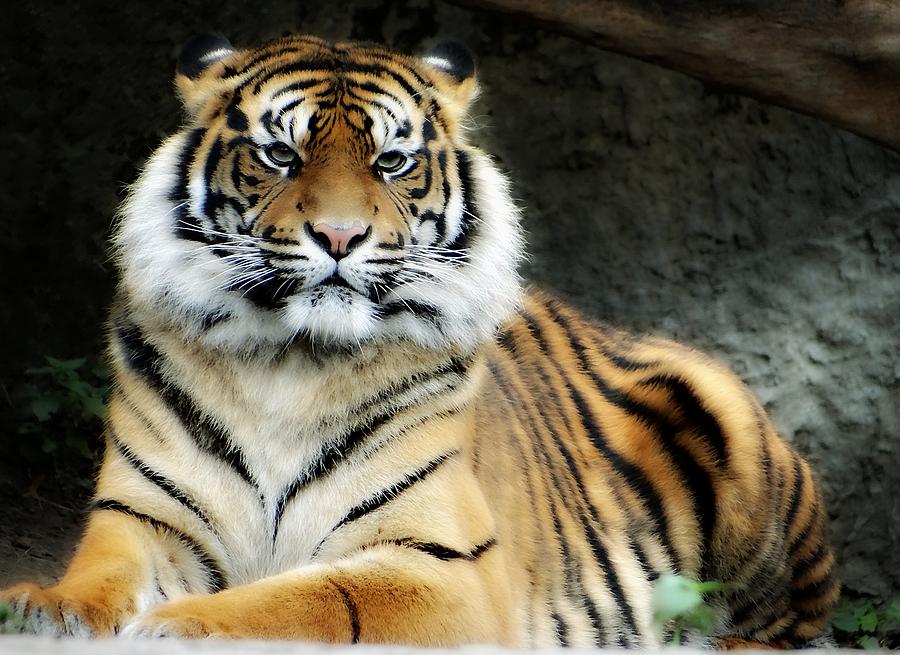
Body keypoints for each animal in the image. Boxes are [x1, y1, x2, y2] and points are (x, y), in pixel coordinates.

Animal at [3, 32, 840, 644]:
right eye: (281, 154)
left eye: (392, 161)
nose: (339, 235)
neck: (289, 364)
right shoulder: (145, 516)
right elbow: (101, 574)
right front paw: (45, 605)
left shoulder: (442, 565)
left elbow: (300, 600)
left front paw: (180, 625)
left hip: (736, 438)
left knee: (786, 628)